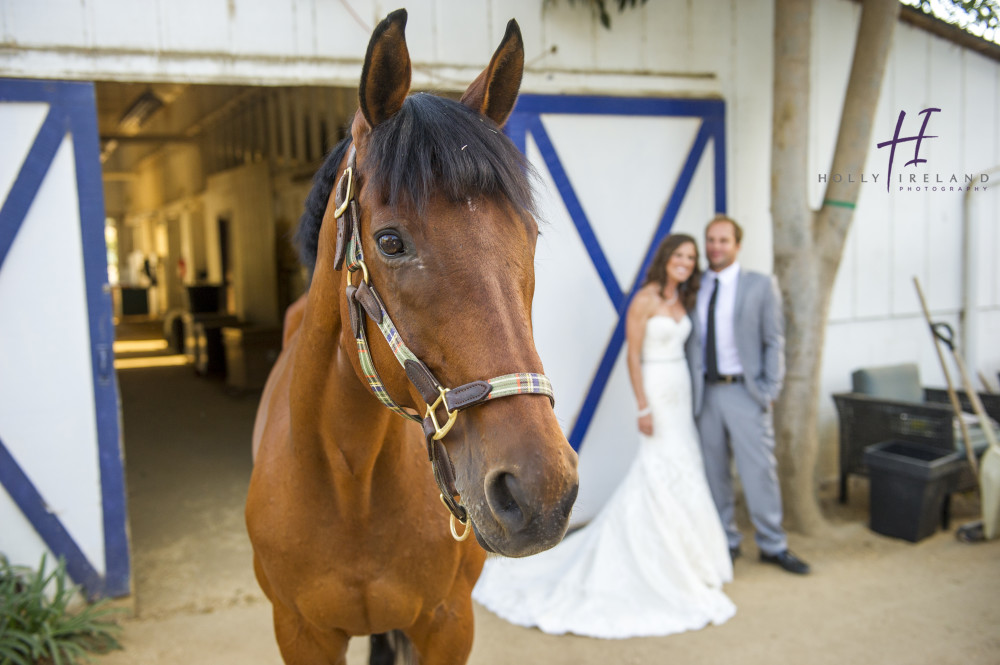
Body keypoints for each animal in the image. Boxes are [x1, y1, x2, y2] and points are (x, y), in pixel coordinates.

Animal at [245, 10, 584, 664]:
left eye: (528, 235)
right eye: (390, 242)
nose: (541, 491)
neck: (350, 484)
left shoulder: (449, 624)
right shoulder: (298, 633)